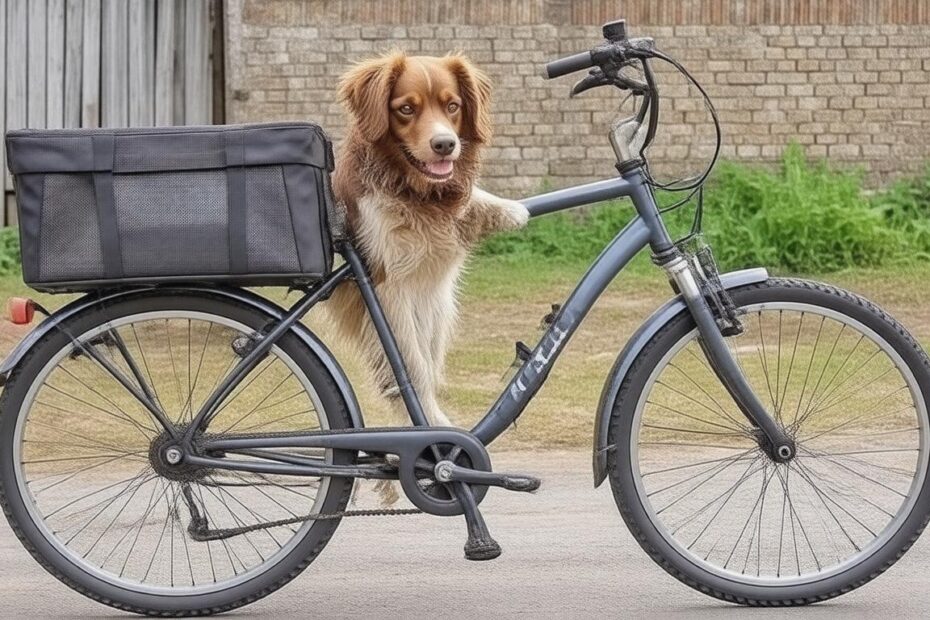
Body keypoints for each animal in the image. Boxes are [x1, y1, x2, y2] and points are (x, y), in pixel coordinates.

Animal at [328, 52, 528, 440]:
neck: (413, 192)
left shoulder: (433, 295)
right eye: (406, 109)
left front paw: (508, 209)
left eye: (453, 106)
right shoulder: (387, 288)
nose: (445, 144)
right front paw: (430, 426)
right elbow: (412, 368)